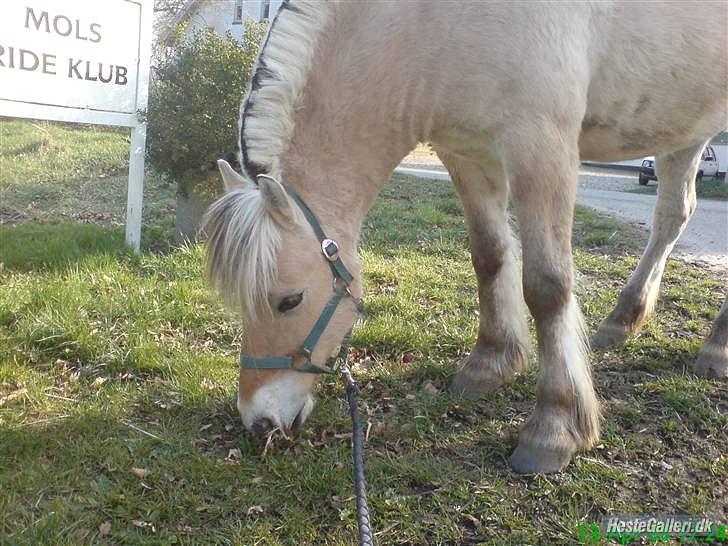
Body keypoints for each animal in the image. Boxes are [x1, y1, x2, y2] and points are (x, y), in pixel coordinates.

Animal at [205, 1, 728, 472]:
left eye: (289, 300)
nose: (259, 421)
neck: (436, 21)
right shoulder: (466, 152)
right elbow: (489, 256)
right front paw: (490, 364)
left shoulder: (542, 148)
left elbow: (547, 287)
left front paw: (554, 428)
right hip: (684, 129)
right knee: (673, 215)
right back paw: (623, 320)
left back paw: (715, 348)